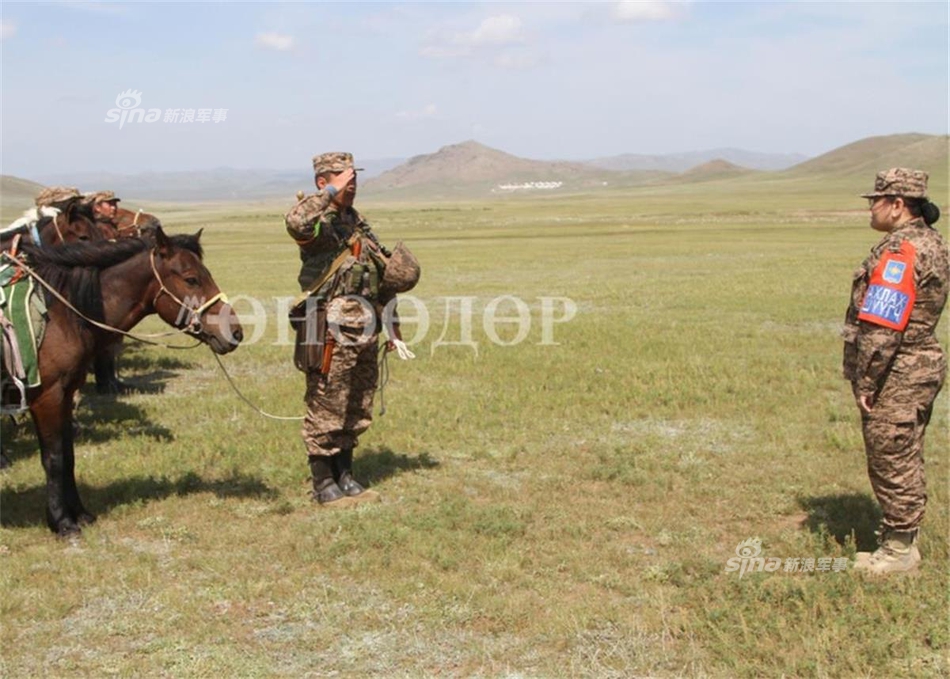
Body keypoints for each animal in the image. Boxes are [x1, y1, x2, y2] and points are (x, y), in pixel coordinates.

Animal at [15, 228, 244, 536]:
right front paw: (61, 522)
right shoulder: (47, 398)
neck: (60, 315)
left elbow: (69, 455)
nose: (235, 332)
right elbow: (54, 459)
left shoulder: (66, 395)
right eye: (191, 279)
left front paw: (81, 514)